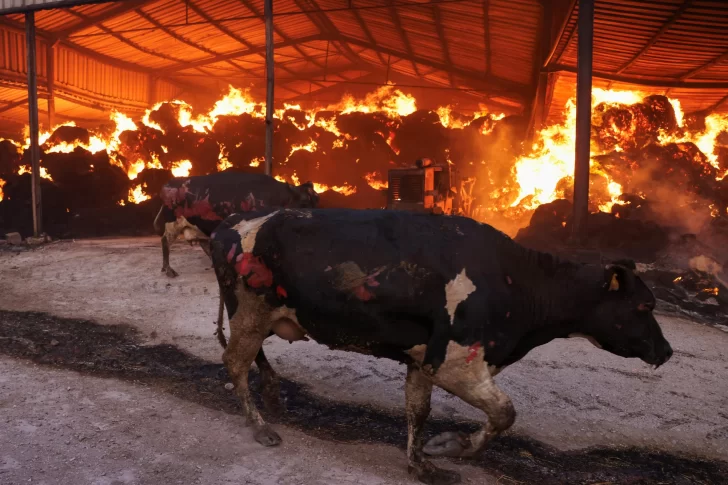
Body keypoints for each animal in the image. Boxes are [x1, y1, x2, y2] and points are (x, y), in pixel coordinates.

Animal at [152, 171, 318, 276]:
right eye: (304, 202)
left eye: (316, 200)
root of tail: (169, 184)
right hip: (173, 224)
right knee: (165, 242)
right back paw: (168, 269)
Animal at [209, 208, 672, 484]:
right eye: (645, 305)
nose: (667, 351)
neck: (517, 283)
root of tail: (233, 227)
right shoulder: (456, 362)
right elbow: (505, 413)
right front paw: (455, 447)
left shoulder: (425, 360)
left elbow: (419, 411)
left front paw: (422, 463)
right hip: (251, 311)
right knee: (234, 361)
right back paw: (260, 425)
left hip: (262, 315)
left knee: (248, 357)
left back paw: (272, 392)